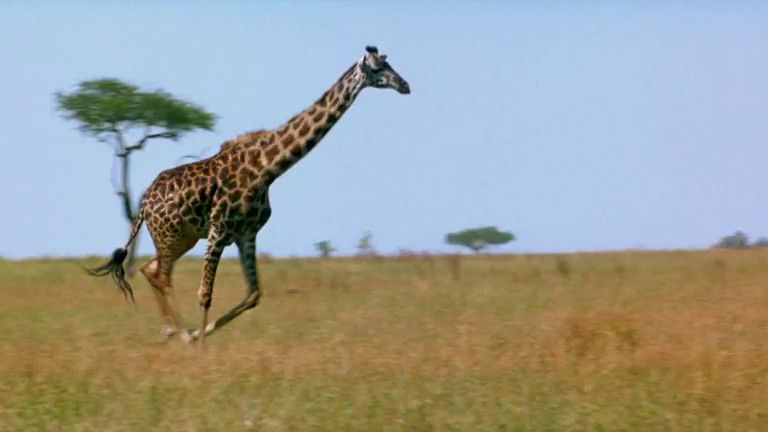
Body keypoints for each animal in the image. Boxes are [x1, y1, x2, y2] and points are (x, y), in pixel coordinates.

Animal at [87, 46, 410, 345]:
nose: (405, 85)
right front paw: (200, 347)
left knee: (150, 268)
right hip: (171, 236)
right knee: (161, 274)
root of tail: (143, 204)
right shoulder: (218, 230)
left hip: (182, 237)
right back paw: (181, 335)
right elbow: (205, 294)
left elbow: (253, 294)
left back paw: (172, 331)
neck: (266, 168)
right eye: (377, 68)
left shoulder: (246, 234)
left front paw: (201, 332)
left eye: (390, 64)